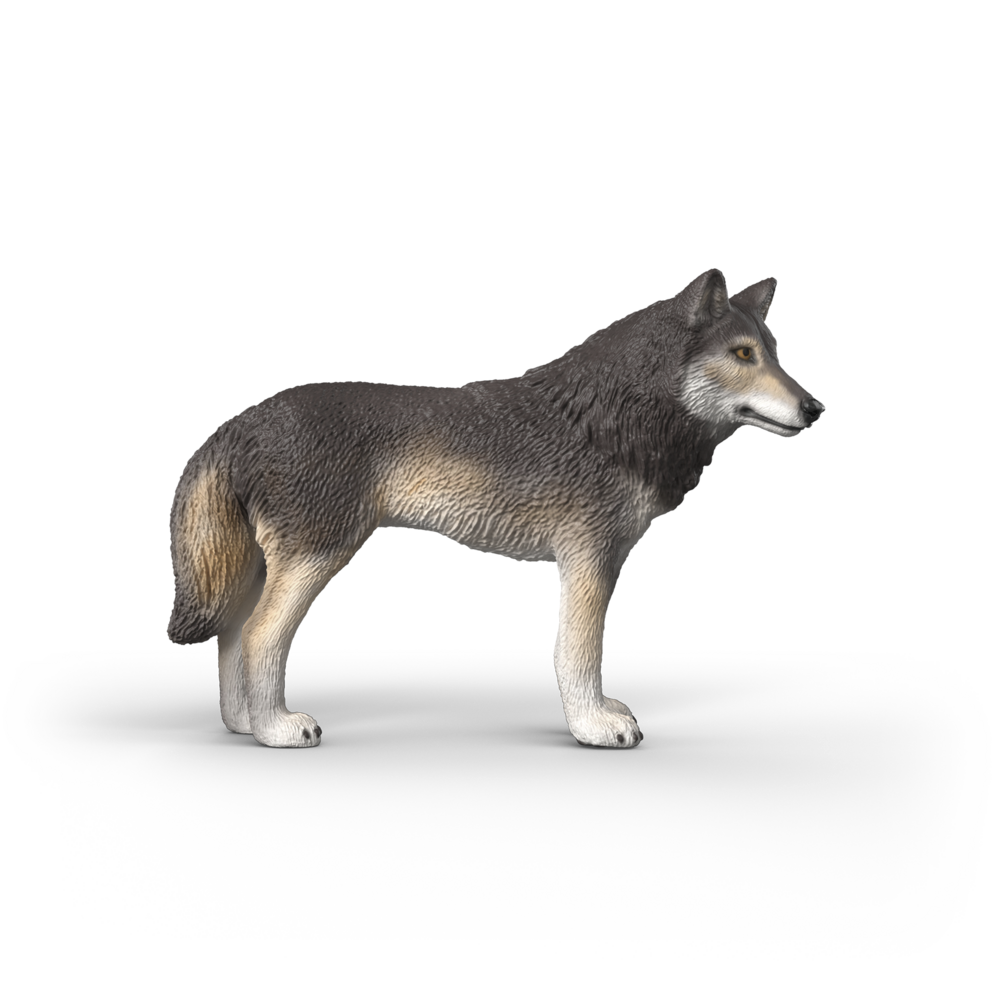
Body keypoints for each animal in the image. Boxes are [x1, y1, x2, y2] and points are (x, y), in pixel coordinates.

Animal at [167, 269, 825, 749]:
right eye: (742, 354)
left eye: (772, 353)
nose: (816, 409)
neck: (612, 423)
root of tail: (239, 423)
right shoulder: (586, 560)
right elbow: (576, 652)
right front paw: (593, 726)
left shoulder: (597, 560)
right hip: (317, 558)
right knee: (258, 637)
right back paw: (276, 730)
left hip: (262, 568)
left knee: (230, 634)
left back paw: (242, 725)